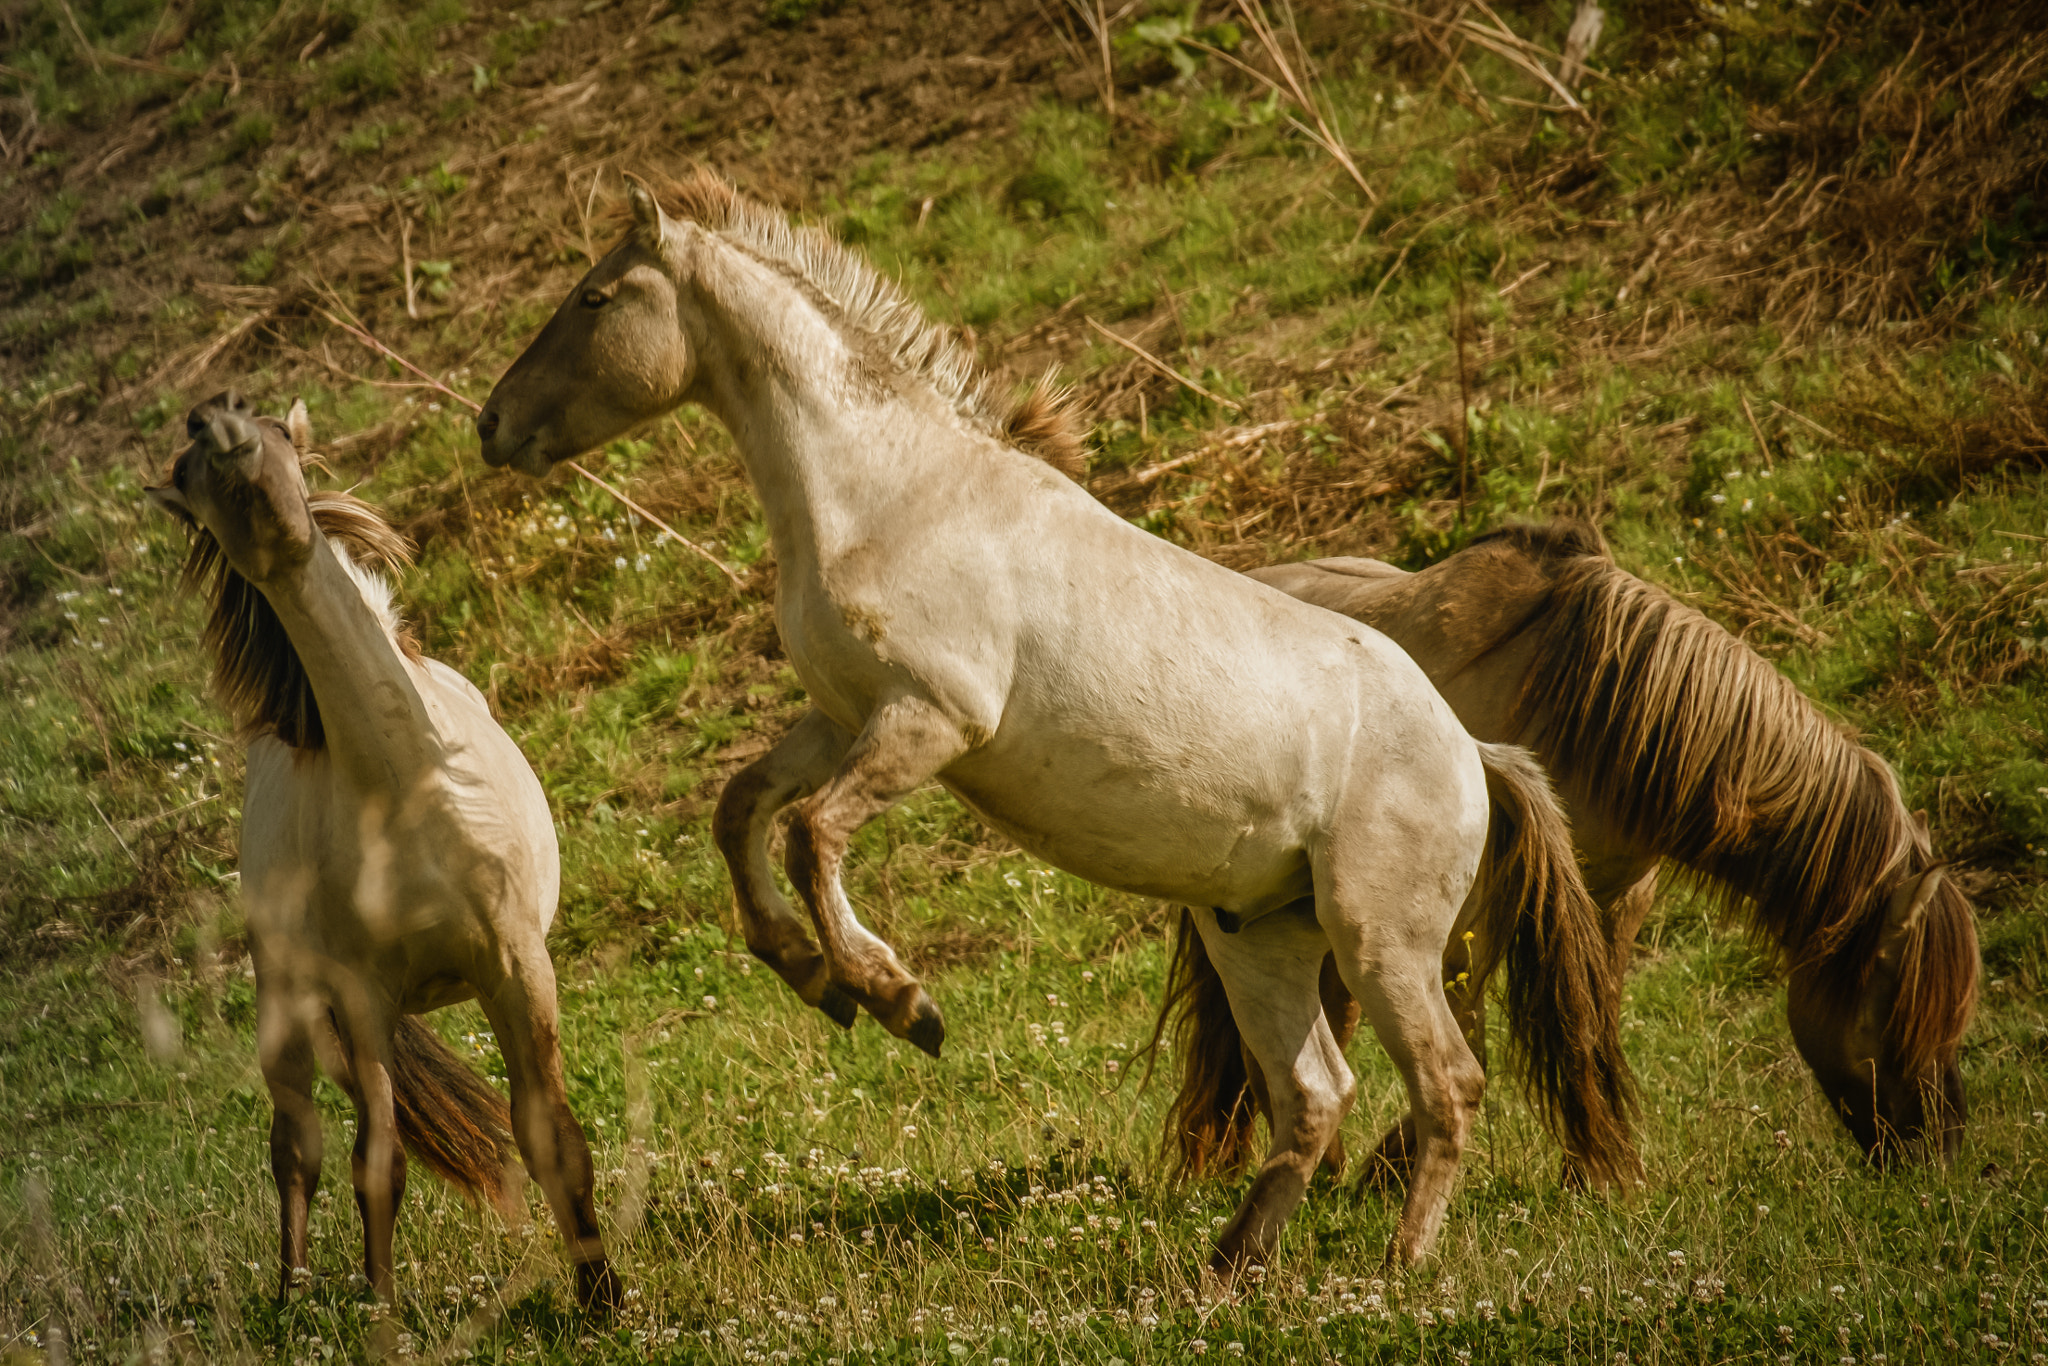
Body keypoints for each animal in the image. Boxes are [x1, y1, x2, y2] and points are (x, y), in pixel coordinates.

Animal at [149, 395, 614, 1310]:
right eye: (191, 473)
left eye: (281, 436)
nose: (219, 422)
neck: (405, 793)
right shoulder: (360, 996)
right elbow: (377, 1162)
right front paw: (382, 1308)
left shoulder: (516, 965)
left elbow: (550, 1134)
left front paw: (604, 1296)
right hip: (289, 1003)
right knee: (297, 1143)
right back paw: (292, 1296)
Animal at [471, 176, 1638, 1277]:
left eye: (594, 297)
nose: (488, 424)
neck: (892, 492)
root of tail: (1472, 753)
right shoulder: (843, 715)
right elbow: (739, 812)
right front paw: (816, 979)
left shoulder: (927, 719)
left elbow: (809, 835)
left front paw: (897, 998)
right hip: (1259, 938)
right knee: (1315, 1094)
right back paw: (1227, 1270)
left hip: (1378, 941)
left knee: (1447, 1084)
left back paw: (1397, 1265)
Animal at [1171, 524, 1982, 1187]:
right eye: (1895, 1009)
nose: (1940, 1153)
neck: (1594, 710)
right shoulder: (1472, 915)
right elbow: (1473, 1036)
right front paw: (1389, 1174)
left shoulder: (1612, 898)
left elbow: (1590, 1022)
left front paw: (1595, 1173)